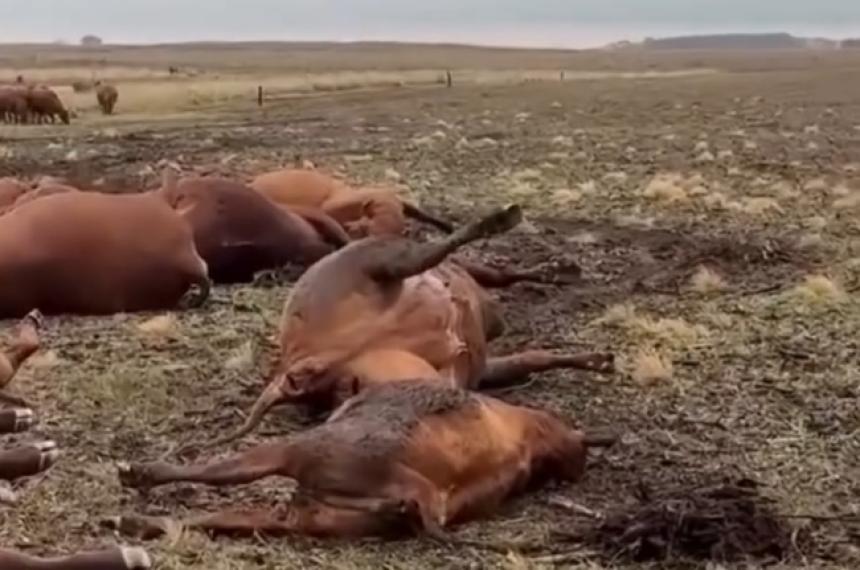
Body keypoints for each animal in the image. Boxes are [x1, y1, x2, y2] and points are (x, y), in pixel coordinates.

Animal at [194, 204, 612, 449]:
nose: (346, 391)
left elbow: (532, 356)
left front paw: (596, 359)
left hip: (384, 266)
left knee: (480, 269)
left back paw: (552, 266)